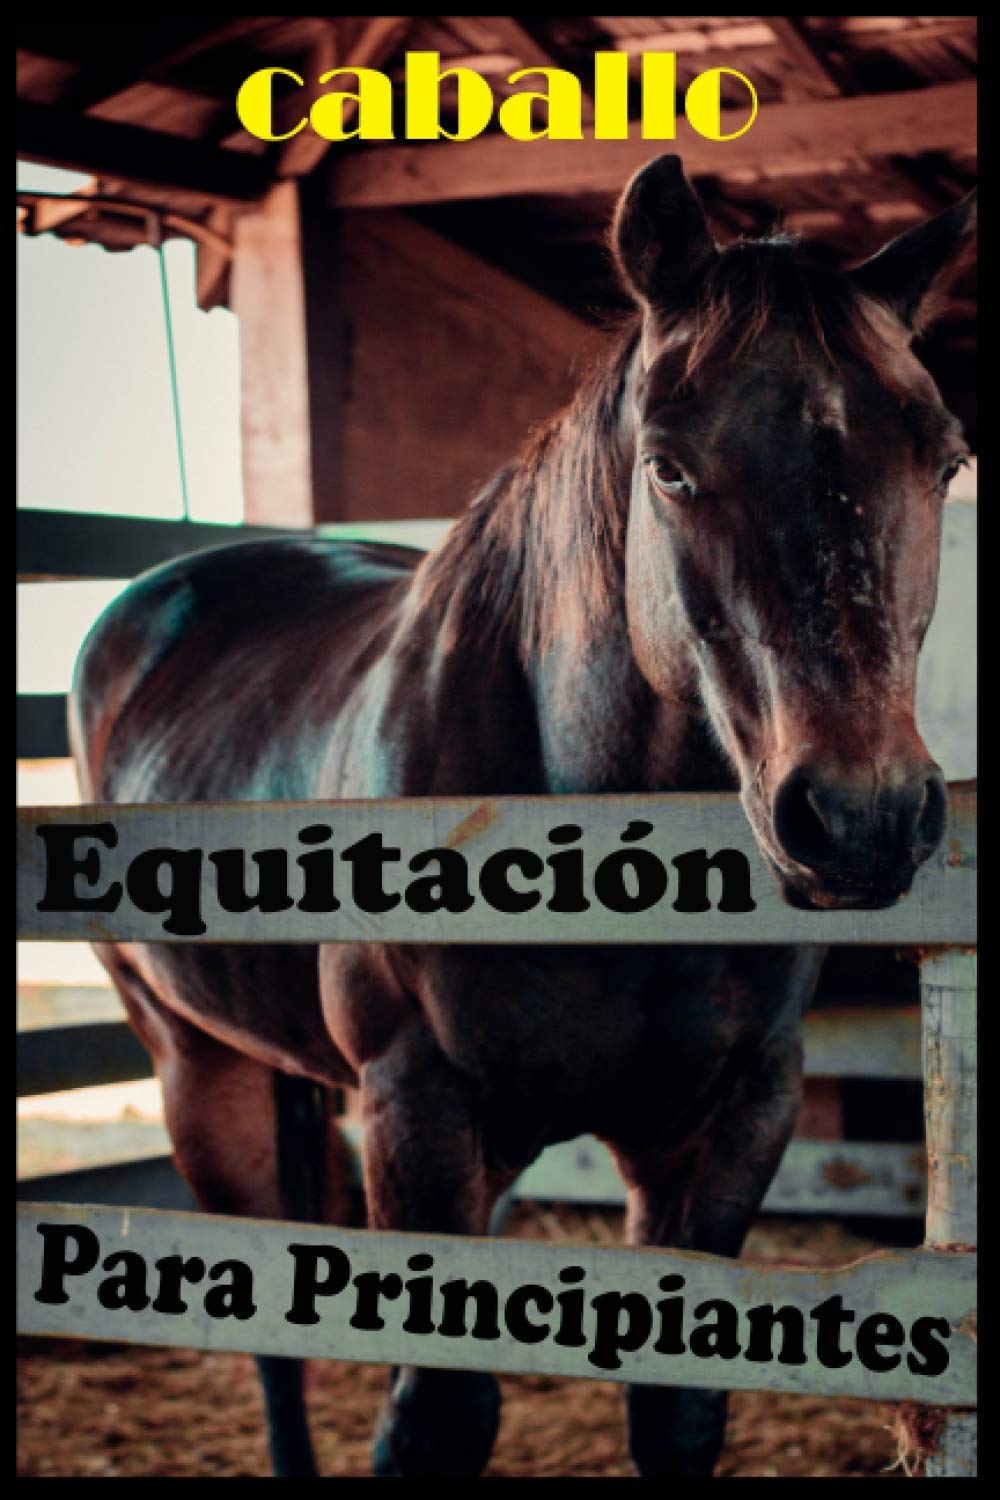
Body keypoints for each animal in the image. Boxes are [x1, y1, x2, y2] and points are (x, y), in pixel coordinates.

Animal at [70, 155, 974, 1478]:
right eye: (669, 466)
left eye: (943, 461)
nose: (860, 816)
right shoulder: (416, 1114)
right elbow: (435, 1413)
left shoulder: (729, 1122)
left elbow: (677, 1411)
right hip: (196, 1067)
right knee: (271, 1339)